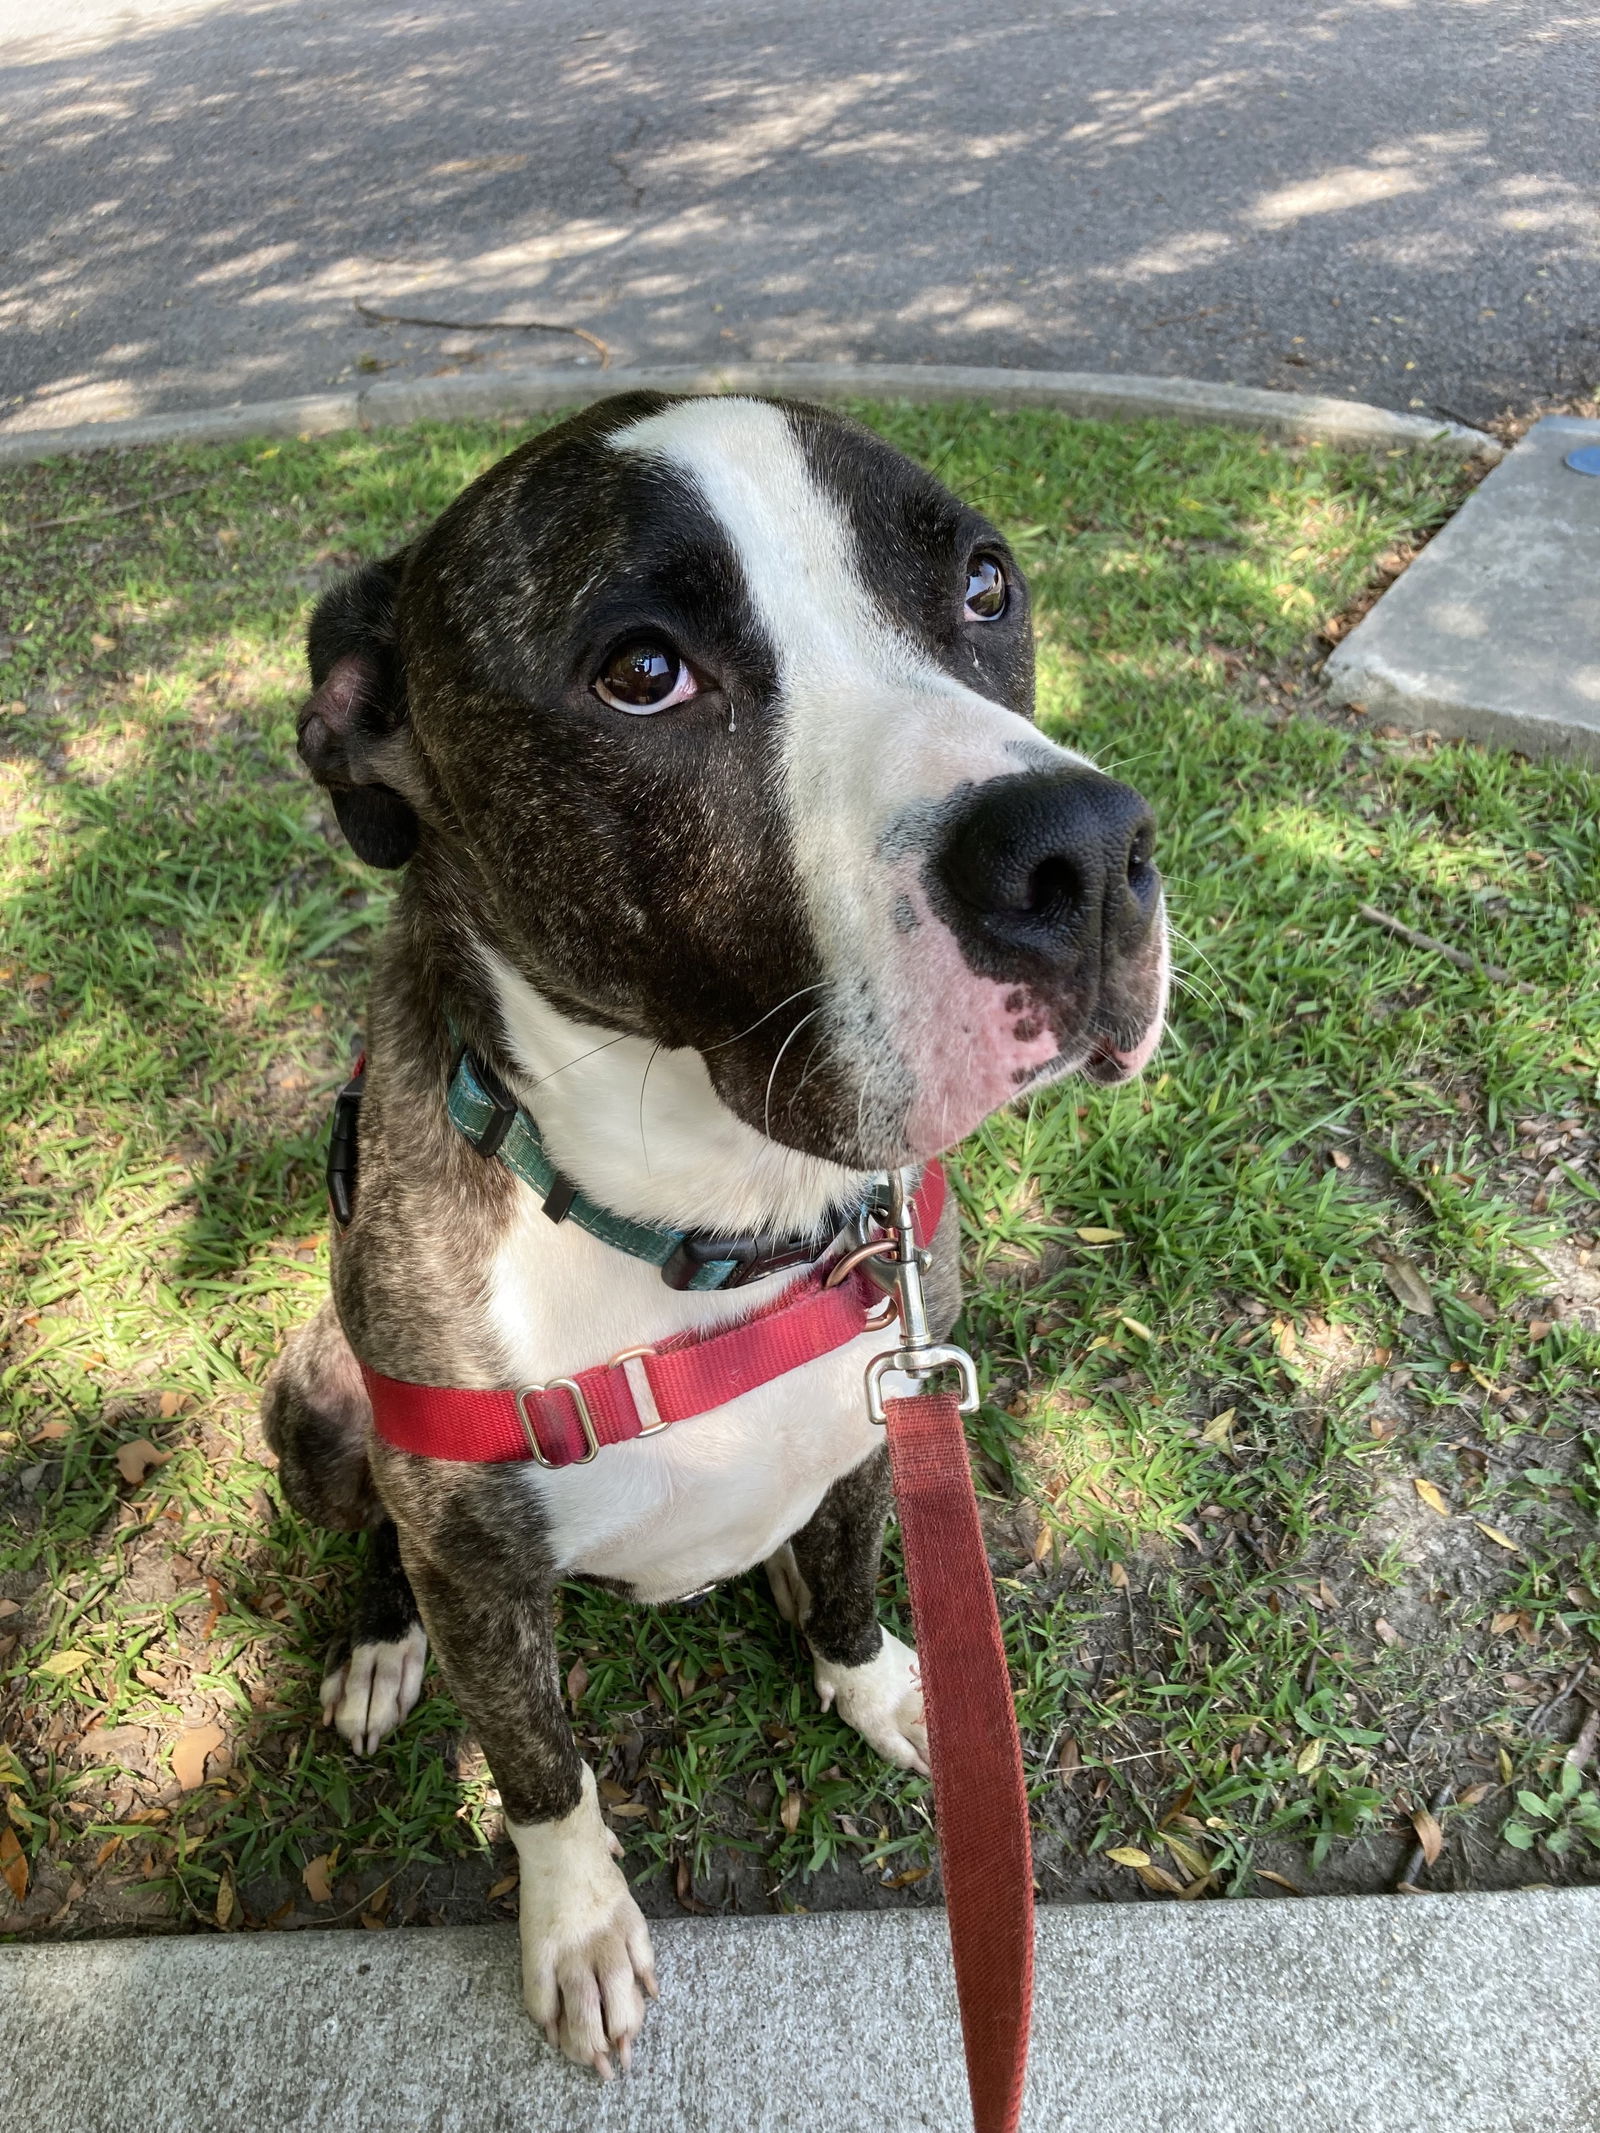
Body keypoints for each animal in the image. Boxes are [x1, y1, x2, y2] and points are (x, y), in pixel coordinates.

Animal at [260, 392, 1169, 2073]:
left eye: (985, 586)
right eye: (642, 670)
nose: (1081, 851)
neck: (713, 1214)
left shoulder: (884, 1422)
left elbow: (861, 1576)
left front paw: (881, 1682)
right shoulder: (475, 1552)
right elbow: (539, 1761)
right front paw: (576, 1921)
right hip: (317, 1404)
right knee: (376, 1544)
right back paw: (379, 1646)